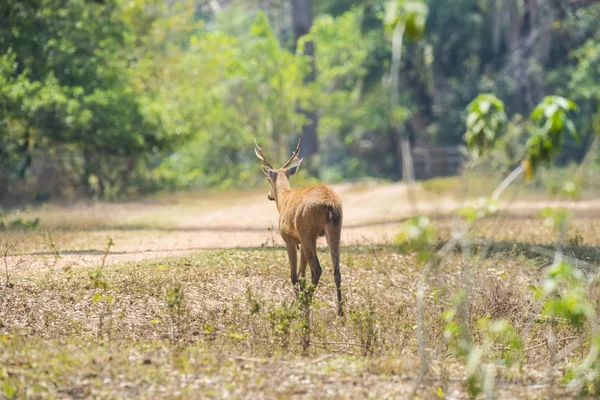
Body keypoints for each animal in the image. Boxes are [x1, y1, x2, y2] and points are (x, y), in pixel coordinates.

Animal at [253, 139, 344, 318]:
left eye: (268, 179)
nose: (269, 195)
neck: (284, 200)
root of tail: (330, 205)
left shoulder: (289, 238)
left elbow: (294, 276)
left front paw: (300, 305)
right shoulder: (300, 241)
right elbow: (302, 275)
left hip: (308, 231)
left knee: (317, 268)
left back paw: (308, 300)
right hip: (335, 228)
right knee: (336, 269)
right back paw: (340, 313)